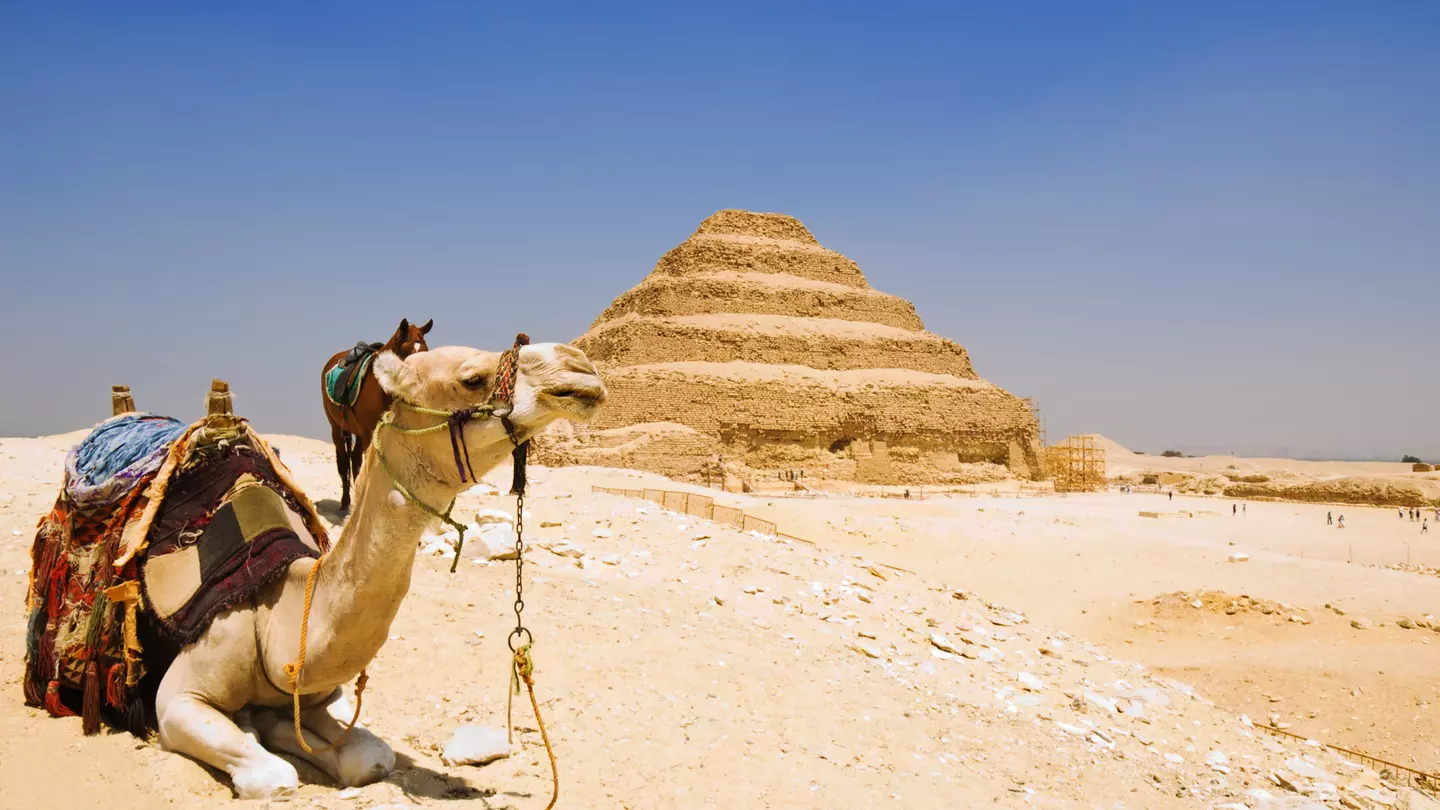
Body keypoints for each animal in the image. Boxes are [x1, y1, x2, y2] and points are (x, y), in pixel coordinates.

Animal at [152, 341, 605, 798]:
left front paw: (268, 724)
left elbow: (370, 756)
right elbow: (275, 776)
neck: (275, 614)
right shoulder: (175, 700)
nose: (579, 366)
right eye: (472, 378)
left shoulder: (315, 694)